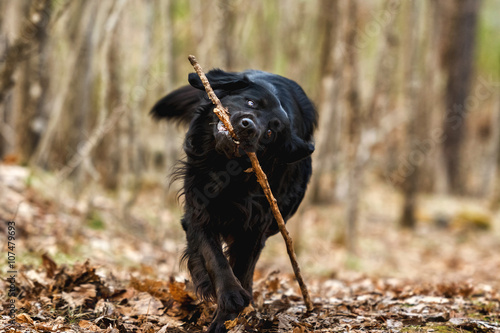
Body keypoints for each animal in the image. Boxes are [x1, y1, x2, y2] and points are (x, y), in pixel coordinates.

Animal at [150, 68, 318, 330]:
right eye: (251, 102)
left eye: (270, 132)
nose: (249, 126)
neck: (225, 168)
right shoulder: (198, 213)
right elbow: (215, 258)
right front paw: (230, 296)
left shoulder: (254, 226)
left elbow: (241, 267)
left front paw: (227, 318)